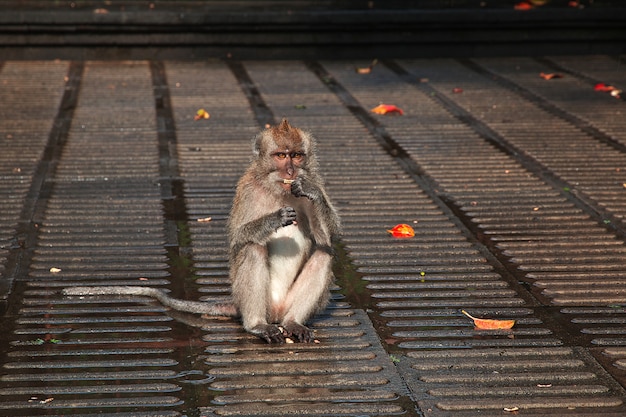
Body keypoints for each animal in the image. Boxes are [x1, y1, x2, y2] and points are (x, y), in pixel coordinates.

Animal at [62, 118, 342, 342]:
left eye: (297, 155)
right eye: (281, 156)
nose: (291, 171)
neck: (278, 190)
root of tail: (271, 313)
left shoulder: (314, 179)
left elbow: (327, 237)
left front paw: (311, 193)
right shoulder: (247, 190)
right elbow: (238, 239)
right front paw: (273, 218)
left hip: (285, 306)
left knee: (324, 254)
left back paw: (293, 322)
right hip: (254, 301)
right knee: (252, 248)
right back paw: (257, 325)